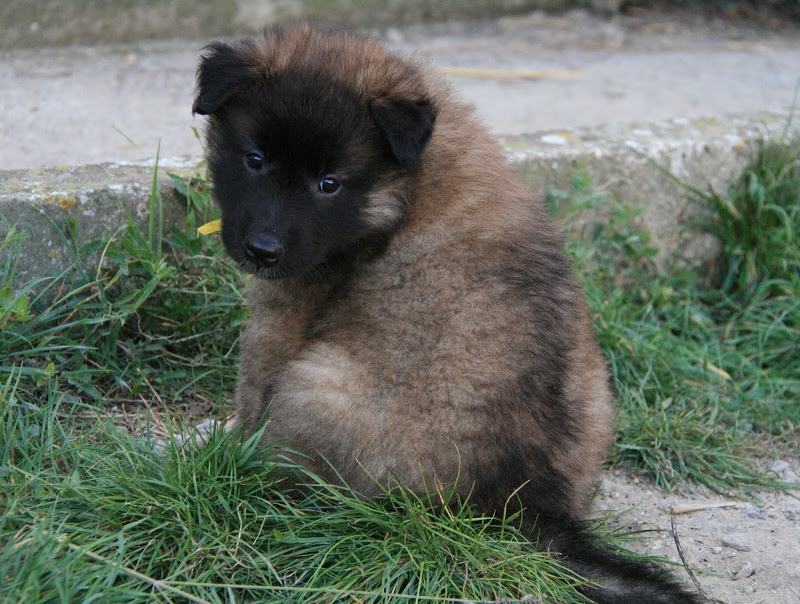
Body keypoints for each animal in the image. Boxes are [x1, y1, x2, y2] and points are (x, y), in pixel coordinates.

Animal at [193, 25, 700, 604]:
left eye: (329, 183)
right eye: (254, 159)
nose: (262, 250)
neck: (406, 186)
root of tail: (523, 506)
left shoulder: (285, 313)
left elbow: (251, 391)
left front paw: (223, 449)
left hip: (318, 383)